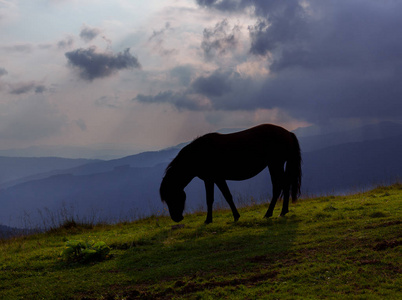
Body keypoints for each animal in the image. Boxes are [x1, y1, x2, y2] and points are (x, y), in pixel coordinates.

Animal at [160, 123, 302, 224]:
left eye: (171, 197)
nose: (176, 218)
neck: (198, 155)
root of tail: (288, 133)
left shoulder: (213, 179)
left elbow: (217, 198)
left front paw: (212, 220)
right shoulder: (214, 179)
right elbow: (221, 197)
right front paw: (231, 217)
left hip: (275, 164)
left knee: (279, 186)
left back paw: (271, 213)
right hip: (276, 165)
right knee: (284, 186)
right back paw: (282, 212)